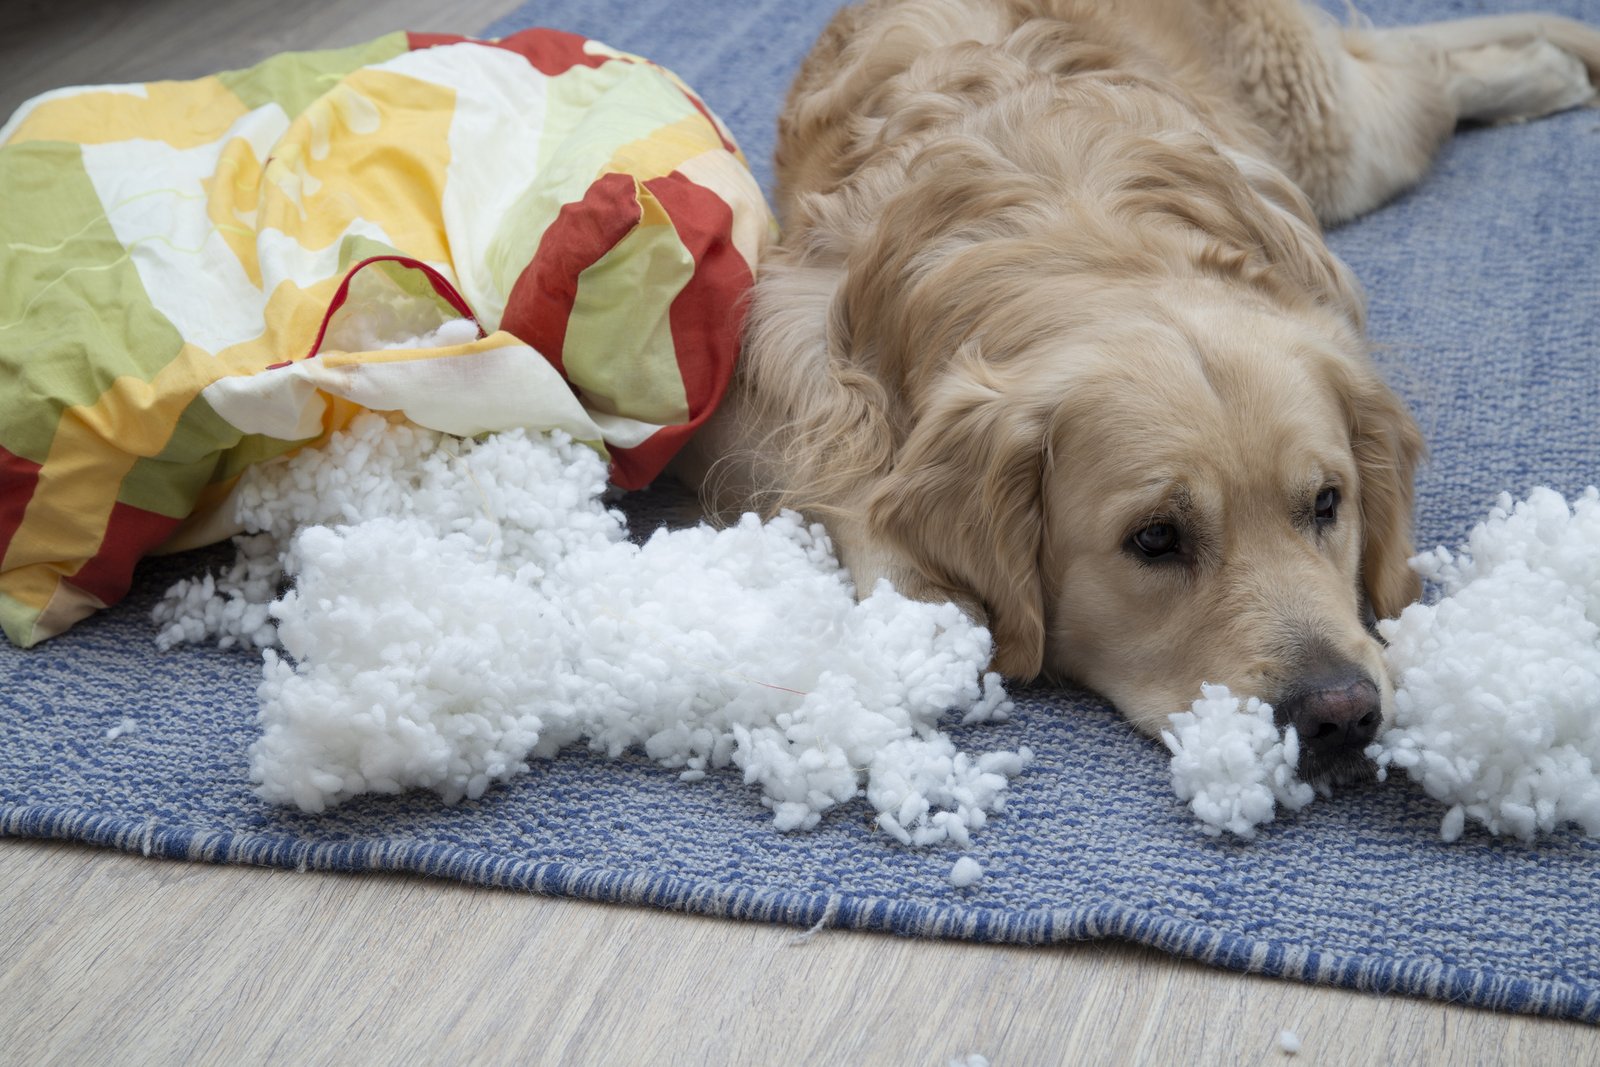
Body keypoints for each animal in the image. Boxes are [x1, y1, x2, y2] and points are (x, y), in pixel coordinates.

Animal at [675, 0, 1600, 780]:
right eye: (1155, 539)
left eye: (1327, 502)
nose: (1342, 714)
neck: (1070, 238)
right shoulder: (756, 368)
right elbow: (851, 494)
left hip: (1331, 137)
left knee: (1414, 74)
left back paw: (1548, 66)